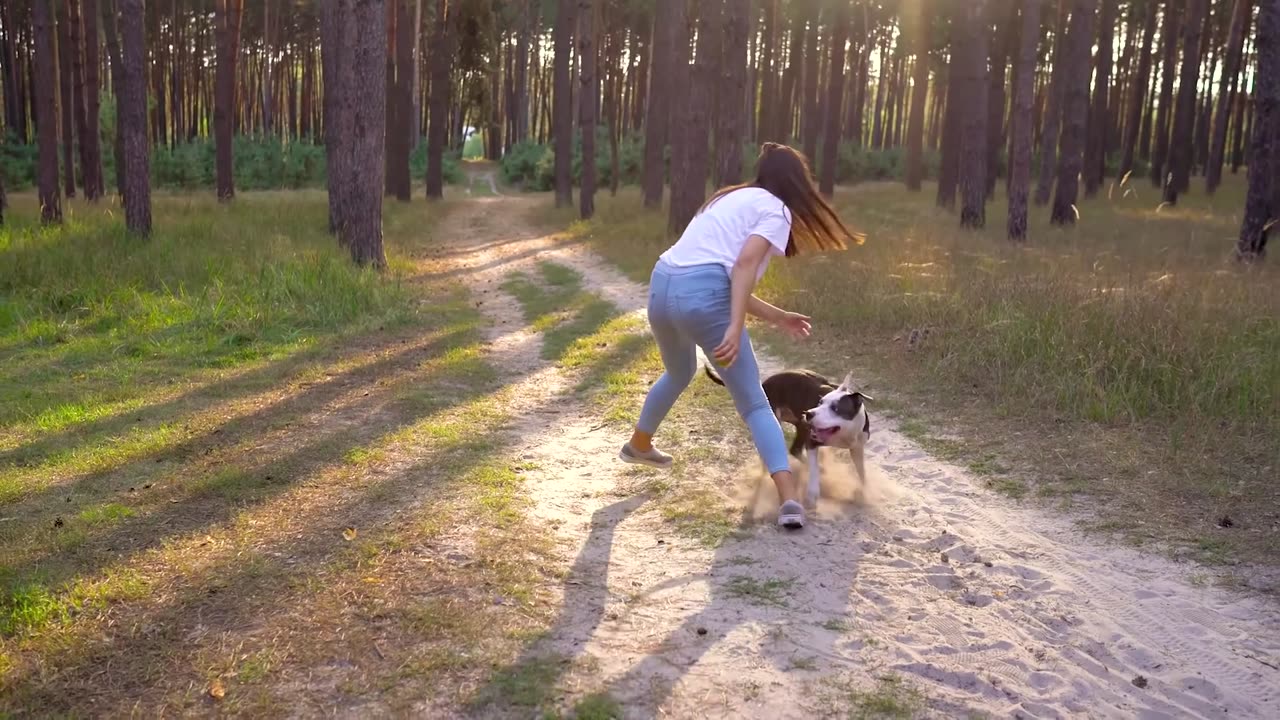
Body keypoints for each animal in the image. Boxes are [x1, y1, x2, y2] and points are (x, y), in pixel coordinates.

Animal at [701, 363, 870, 504]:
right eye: (820, 402)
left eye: (835, 408)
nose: (809, 413)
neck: (845, 435)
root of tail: (764, 383)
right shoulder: (812, 442)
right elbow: (814, 470)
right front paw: (812, 493)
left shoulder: (857, 448)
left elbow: (861, 472)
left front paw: (862, 491)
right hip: (782, 420)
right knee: (792, 450)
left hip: (800, 426)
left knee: (795, 449)